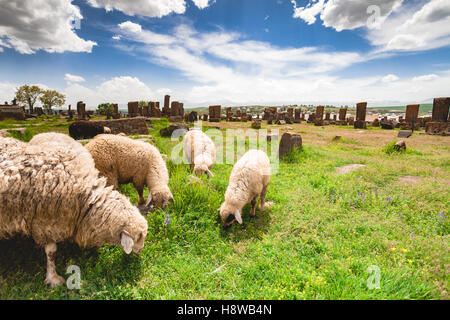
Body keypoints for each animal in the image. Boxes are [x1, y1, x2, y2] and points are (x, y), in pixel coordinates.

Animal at [0, 137, 148, 288]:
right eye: (139, 237)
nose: (141, 252)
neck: (85, 198)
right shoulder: (44, 223)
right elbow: (51, 252)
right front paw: (53, 278)